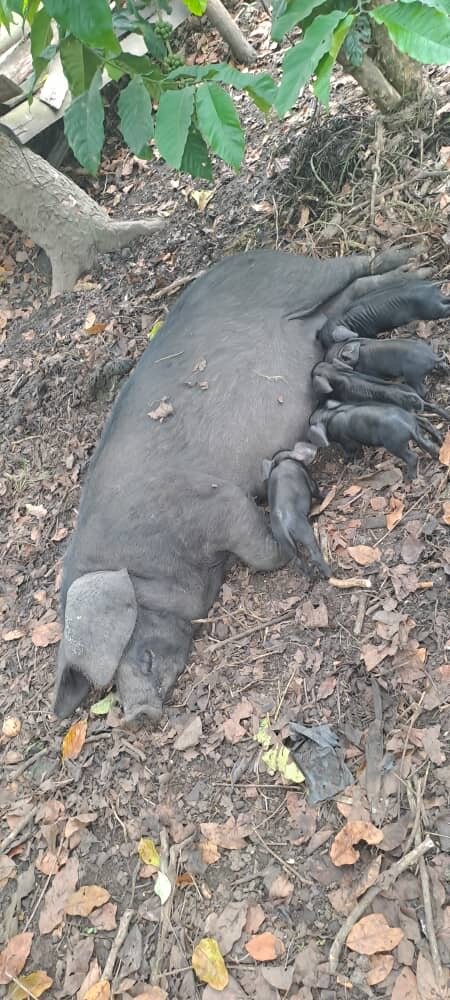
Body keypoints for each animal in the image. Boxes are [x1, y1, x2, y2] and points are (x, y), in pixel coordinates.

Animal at [262, 442, 330, 578]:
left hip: (285, 544)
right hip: (304, 531)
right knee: (314, 554)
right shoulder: (310, 481)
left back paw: (311, 578)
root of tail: (283, 525)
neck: (281, 460)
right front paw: (327, 493)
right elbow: (316, 491)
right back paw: (330, 573)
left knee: (299, 561)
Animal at [308, 400, 442, 479]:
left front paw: (345, 461)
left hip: (395, 445)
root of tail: (409, 426)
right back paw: (437, 454)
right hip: (417, 432)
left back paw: (410, 478)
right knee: (430, 443)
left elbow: (351, 451)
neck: (328, 415)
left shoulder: (348, 442)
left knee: (413, 457)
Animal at [311, 360, 450, 420]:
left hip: (408, 409)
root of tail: (405, 392)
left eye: (315, 374)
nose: (314, 367)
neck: (337, 375)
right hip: (418, 400)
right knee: (433, 406)